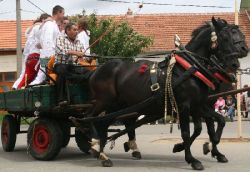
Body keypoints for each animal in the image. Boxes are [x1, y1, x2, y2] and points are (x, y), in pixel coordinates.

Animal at [72, 16, 248, 170]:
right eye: (225, 36)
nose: (243, 51)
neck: (190, 68)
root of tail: (95, 70)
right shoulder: (185, 106)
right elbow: (188, 132)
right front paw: (192, 159)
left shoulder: (199, 105)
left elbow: (213, 124)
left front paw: (203, 148)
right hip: (103, 101)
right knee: (88, 118)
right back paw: (95, 145)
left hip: (118, 105)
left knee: (104, 123)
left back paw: (103, 154)